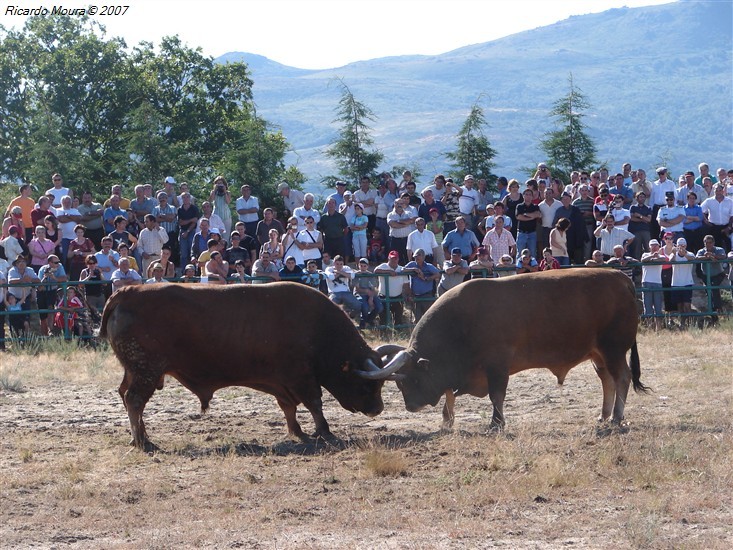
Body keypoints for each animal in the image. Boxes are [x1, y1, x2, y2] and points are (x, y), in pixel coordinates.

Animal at [98, 284, 400, 452]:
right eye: (368, 383)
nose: (377, 409)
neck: (319, 326)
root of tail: (124, 293)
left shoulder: (282, 381)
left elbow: (289, 407)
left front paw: (298, 432)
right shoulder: (301, 377)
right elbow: (315, 403)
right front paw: (324, 432)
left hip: (134, 371)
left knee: (125, 396)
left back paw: (141, 437)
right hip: (146, 371)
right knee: (134, 400)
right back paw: (142, 441)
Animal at [364, 270, 648, 432]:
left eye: (411, 380)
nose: (411, 406)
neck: (462, 320)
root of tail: (620, 277)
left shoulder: (497, 366)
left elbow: (496, 395)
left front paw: (496, 423)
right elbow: (449, 393)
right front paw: (447, 420)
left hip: (613, 350)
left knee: (621, 378)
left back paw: (617, 417)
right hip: (598, 354)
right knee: (607, 381)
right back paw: (604, 415)